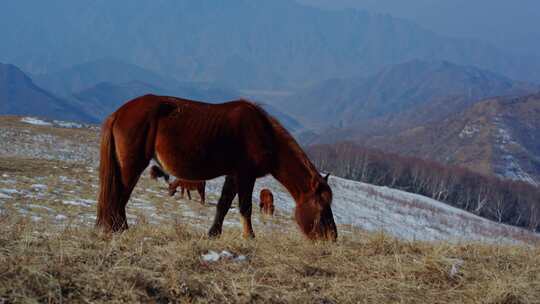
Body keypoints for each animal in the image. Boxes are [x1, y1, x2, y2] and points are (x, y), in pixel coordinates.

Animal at [95, 94, 336, 241]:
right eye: (322, 207)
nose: (332, 237)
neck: (262, 132)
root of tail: (119, 113)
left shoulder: (233, 175)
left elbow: (223, 204)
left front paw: (213, 233)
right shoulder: (246, 175)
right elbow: (245, 207)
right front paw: (249, 237)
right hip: (132, 165)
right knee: (120, 195)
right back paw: (118, 228)